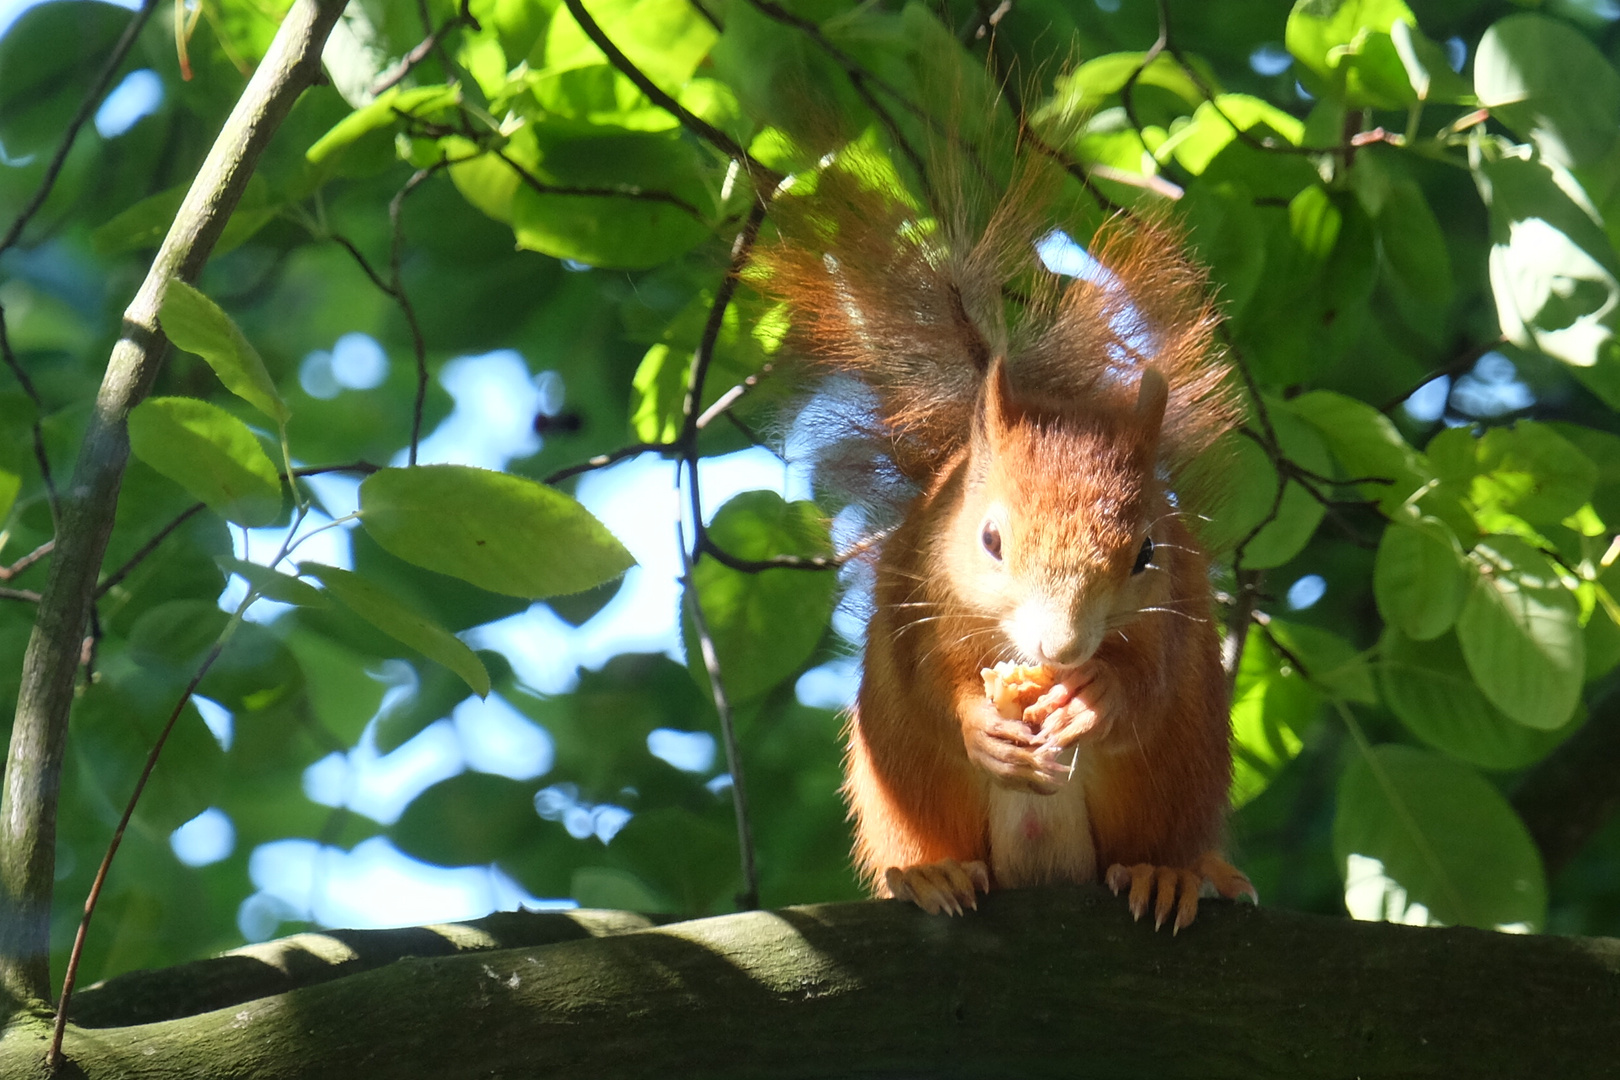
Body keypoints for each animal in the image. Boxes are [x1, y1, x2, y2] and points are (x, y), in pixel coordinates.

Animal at [751, 122, 1257, 932]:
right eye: (988, 540)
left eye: (1146, 552)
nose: (1063, 648)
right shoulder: (919, 589)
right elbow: (928, 683)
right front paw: (979, 724)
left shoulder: (1172, 611)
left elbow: (1148, 683)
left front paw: (1095, 695)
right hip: (906, 799)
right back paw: (931, 875)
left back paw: (1170, 874)